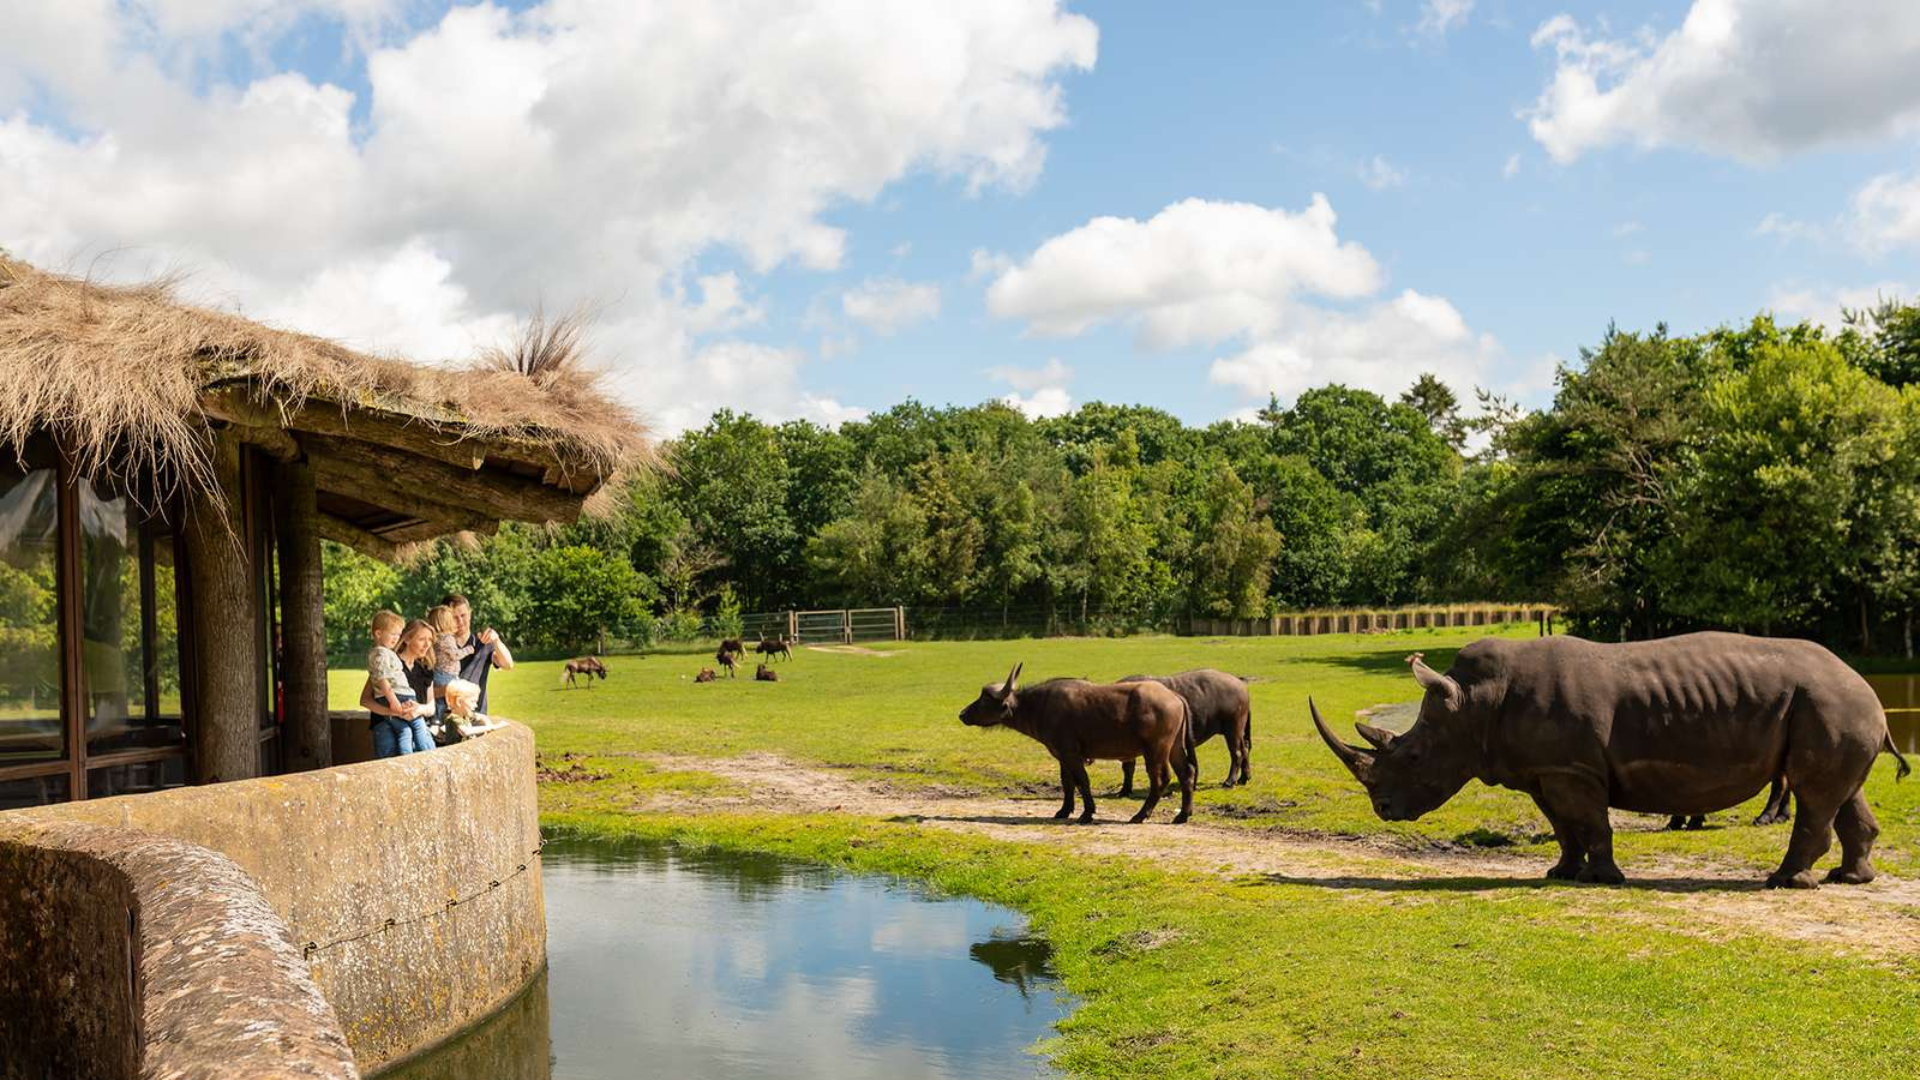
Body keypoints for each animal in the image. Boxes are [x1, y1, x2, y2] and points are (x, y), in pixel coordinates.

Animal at [1311, 632, 1910, 888]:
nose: (1383, 809)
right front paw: (1561, 874)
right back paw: (1849, 879)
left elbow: (1593, 823)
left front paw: (1604, 879)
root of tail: (1867, 685)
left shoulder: (1572, 769)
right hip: (1833, 706)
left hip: (1829, 701)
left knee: (1816, 794)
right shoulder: (1544, 770)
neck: (1471, 706)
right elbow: (1564, 827)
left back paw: (1785, 883)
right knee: (1840, 792)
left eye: (1412, 754)